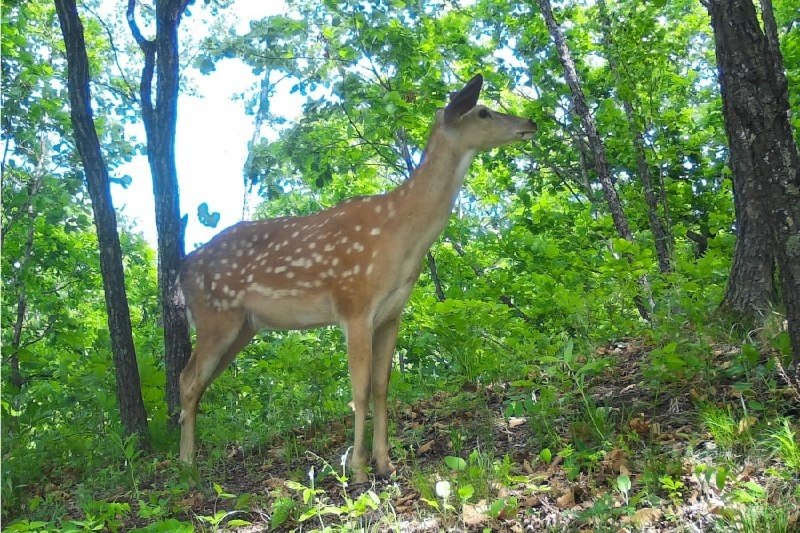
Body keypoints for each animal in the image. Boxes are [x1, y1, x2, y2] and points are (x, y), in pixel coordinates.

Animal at [178, 74, 536, 482]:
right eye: (483, 112)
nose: (530, 122)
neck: (401, 234)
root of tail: (183, 268)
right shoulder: (355, 305)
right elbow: (359, 390)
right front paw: (359, 469)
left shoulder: (391, 313)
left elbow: (382, 386)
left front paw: (385, 462)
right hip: (215, 316)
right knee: (187, 380)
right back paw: (186, 466)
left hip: (243, 326)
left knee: (197, 382)